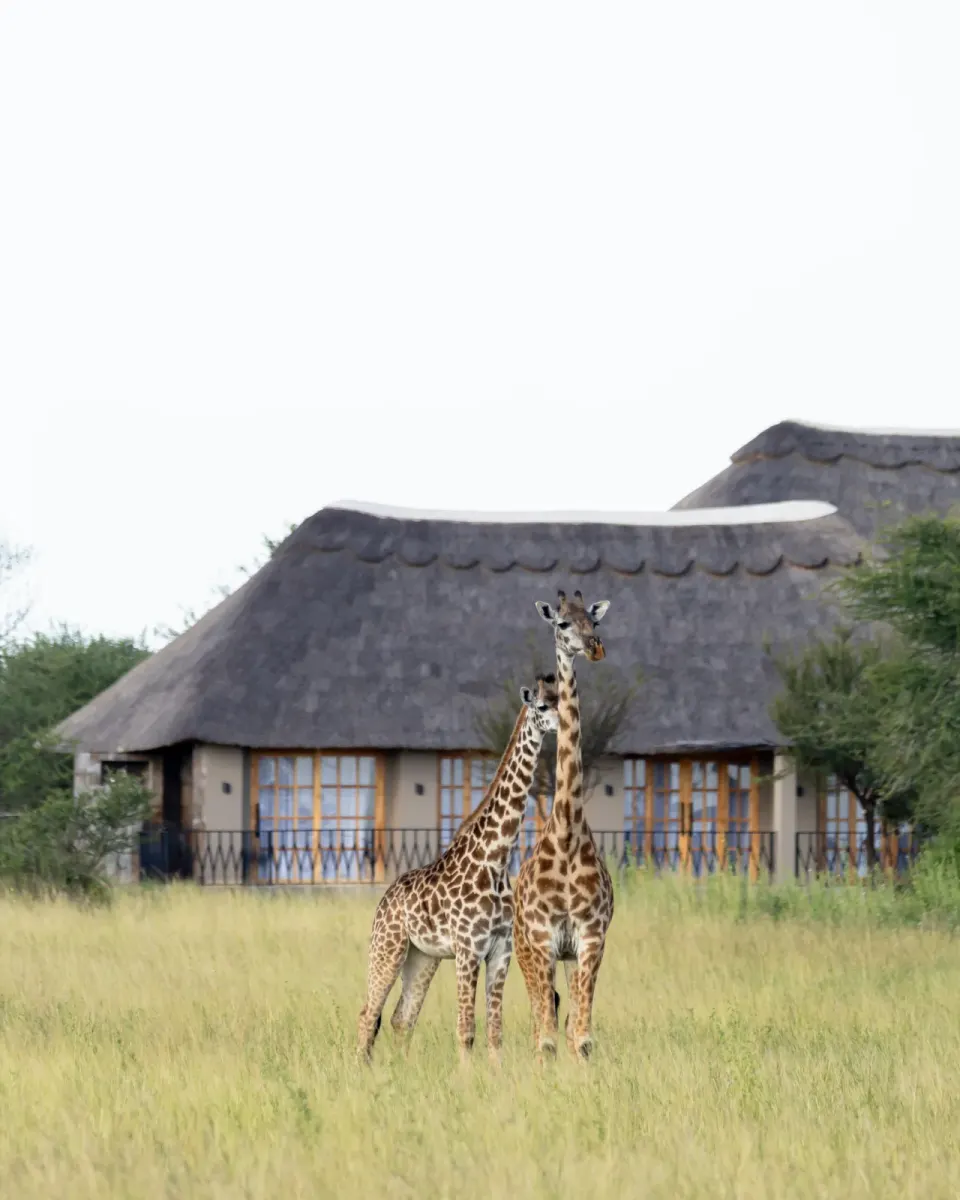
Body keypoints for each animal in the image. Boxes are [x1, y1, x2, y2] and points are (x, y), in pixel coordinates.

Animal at [357, 673, 560, 1063]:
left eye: (563, 700)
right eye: (543, 706)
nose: (564, 723)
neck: (496, 860)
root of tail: (384, 900)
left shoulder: (500, 950)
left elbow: (494, 1031)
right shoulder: (468, 949)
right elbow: (466, 1030)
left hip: (422, 957)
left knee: (402, 1018)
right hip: (388, 948)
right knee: (367, 1014)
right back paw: (362, 1069)